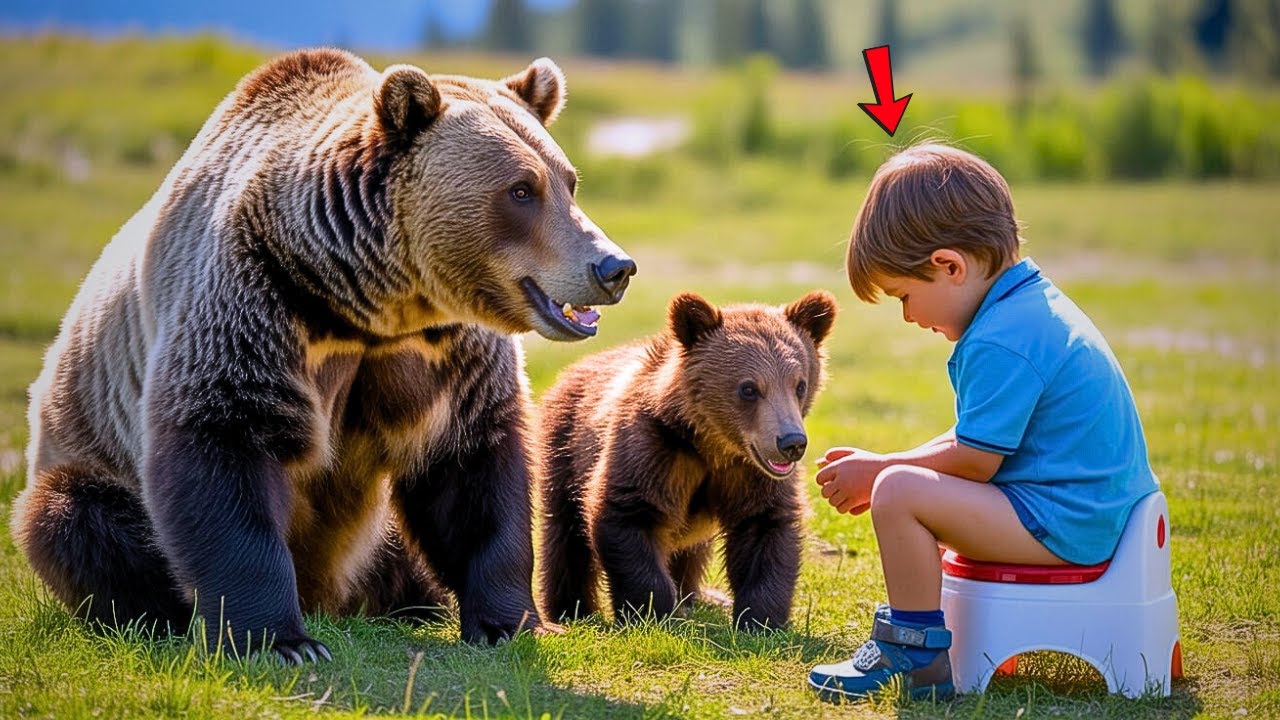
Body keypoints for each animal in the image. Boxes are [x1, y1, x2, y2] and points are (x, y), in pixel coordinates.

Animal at [10, 48, 636, 663]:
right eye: (521, 190)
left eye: (568, 181)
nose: (612, 266)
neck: (367, 307)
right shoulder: (252, 306)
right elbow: (223, 443)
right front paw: (280, 641)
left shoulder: (447, 354)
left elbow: (472, 468)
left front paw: (514, 622)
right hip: (89, 458)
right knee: (75, 519)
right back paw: (166, 613)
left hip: (380, 536)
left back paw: (414, 602)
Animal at [537, 290, 836, 630]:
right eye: (748, 388)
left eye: (800, 384)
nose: (791, 443)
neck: (712, 445)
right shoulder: (653, 449)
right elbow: (627, 513)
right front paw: (654, 612)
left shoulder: (747, 473)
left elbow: (765, 525)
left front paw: (760, 619)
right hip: (565, 446)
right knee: (566, 534)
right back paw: (571, 608)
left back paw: (689, 597)